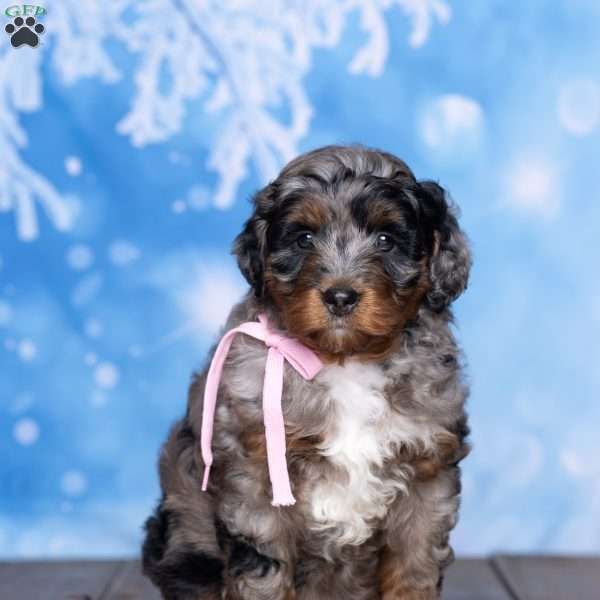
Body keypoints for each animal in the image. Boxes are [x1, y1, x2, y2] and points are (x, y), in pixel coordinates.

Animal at [143, 145, 472, 600]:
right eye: (304, 238)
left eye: (386, 240)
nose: (340, 296)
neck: (345, 360)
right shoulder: (255, 475)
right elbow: (265, 570)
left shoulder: (428, 475)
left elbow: (413, 567)